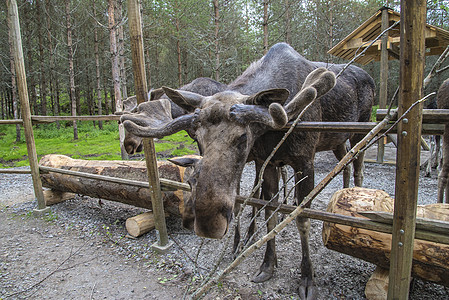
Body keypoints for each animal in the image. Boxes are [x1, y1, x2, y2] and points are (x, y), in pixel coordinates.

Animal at [120, 43, 374, 298]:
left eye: (243, 137)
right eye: (198, 137)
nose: (208, 222)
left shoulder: (304, 160)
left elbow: (301, 218)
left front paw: (307, 279)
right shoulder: (267, 161)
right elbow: (265, 209)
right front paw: (266, 263)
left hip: (359, 129)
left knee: (358, 165)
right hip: (336, 140)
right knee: (346, 161)